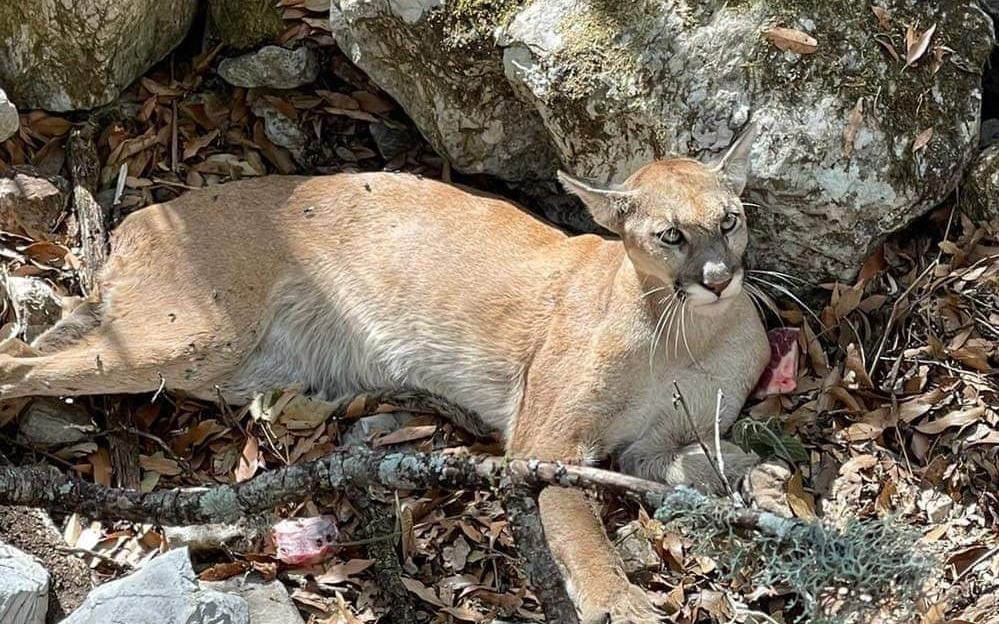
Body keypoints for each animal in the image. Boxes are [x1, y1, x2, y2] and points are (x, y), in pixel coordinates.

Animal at [0, 125, 768, 620]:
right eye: (670, 235)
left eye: (730, 220)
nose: (717, 278)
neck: (685, 334)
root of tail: (144, 216)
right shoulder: (546, 444)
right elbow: (579, 526)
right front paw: (620, 601)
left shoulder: (650, 446)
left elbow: (691, 463)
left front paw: (757, 476)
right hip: (188, 337)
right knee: (17, 362)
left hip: (218, 363)